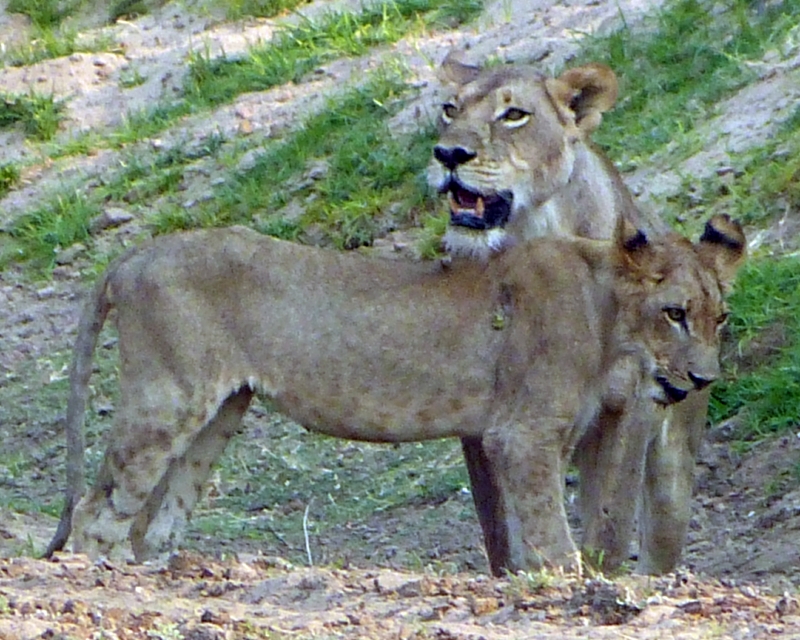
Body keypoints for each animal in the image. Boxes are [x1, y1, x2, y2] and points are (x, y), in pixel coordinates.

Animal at [45, 217, 744, 571]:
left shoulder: (525, 441)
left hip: (217, 413)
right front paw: (568, 582)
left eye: (720, 317)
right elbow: (553, 535)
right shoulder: (521, 434)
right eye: (674, 313)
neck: (607, 317)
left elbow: (533, 529)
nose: (704, 379)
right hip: (170, 397)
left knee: (153, 520)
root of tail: (133, 255)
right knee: (95, 513)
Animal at [429, 56, 722, 574]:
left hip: (674, 469)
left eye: (514, 116)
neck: (531, 237)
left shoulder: (632, 403)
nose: (448, 154)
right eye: (449, 109)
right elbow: (500, 526)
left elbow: (611, 517)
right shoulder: (480, 416)